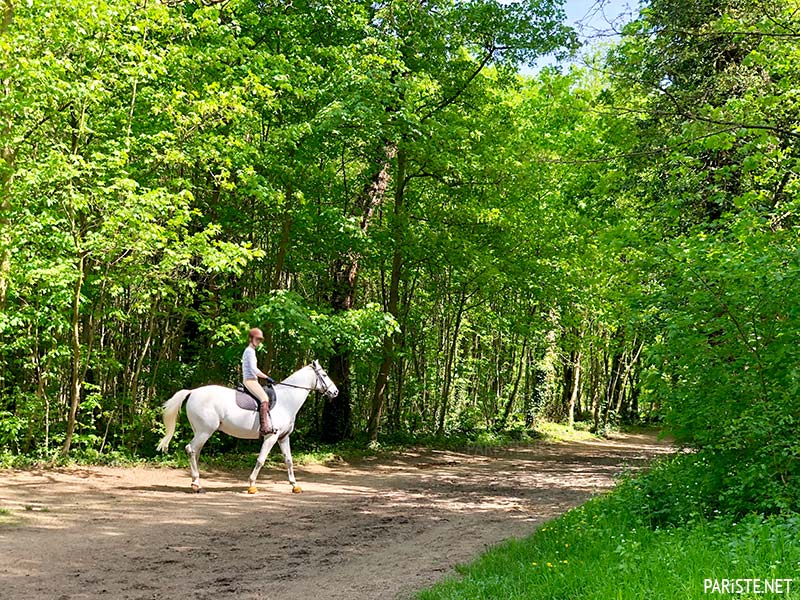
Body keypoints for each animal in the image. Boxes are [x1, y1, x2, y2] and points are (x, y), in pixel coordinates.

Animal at [155, 360, 338, 492]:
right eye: (324, 374)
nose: (335, 392)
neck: (287, 400)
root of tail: (193, 392)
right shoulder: (271, 437)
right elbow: (261, 460)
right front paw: (251, 485)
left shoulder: (283, 437)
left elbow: (289, 460)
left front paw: (295, 485)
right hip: (205, 431)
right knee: (191, 449)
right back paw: (197, 486)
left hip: (200, 432)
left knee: (195, 452)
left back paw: (196, 482)